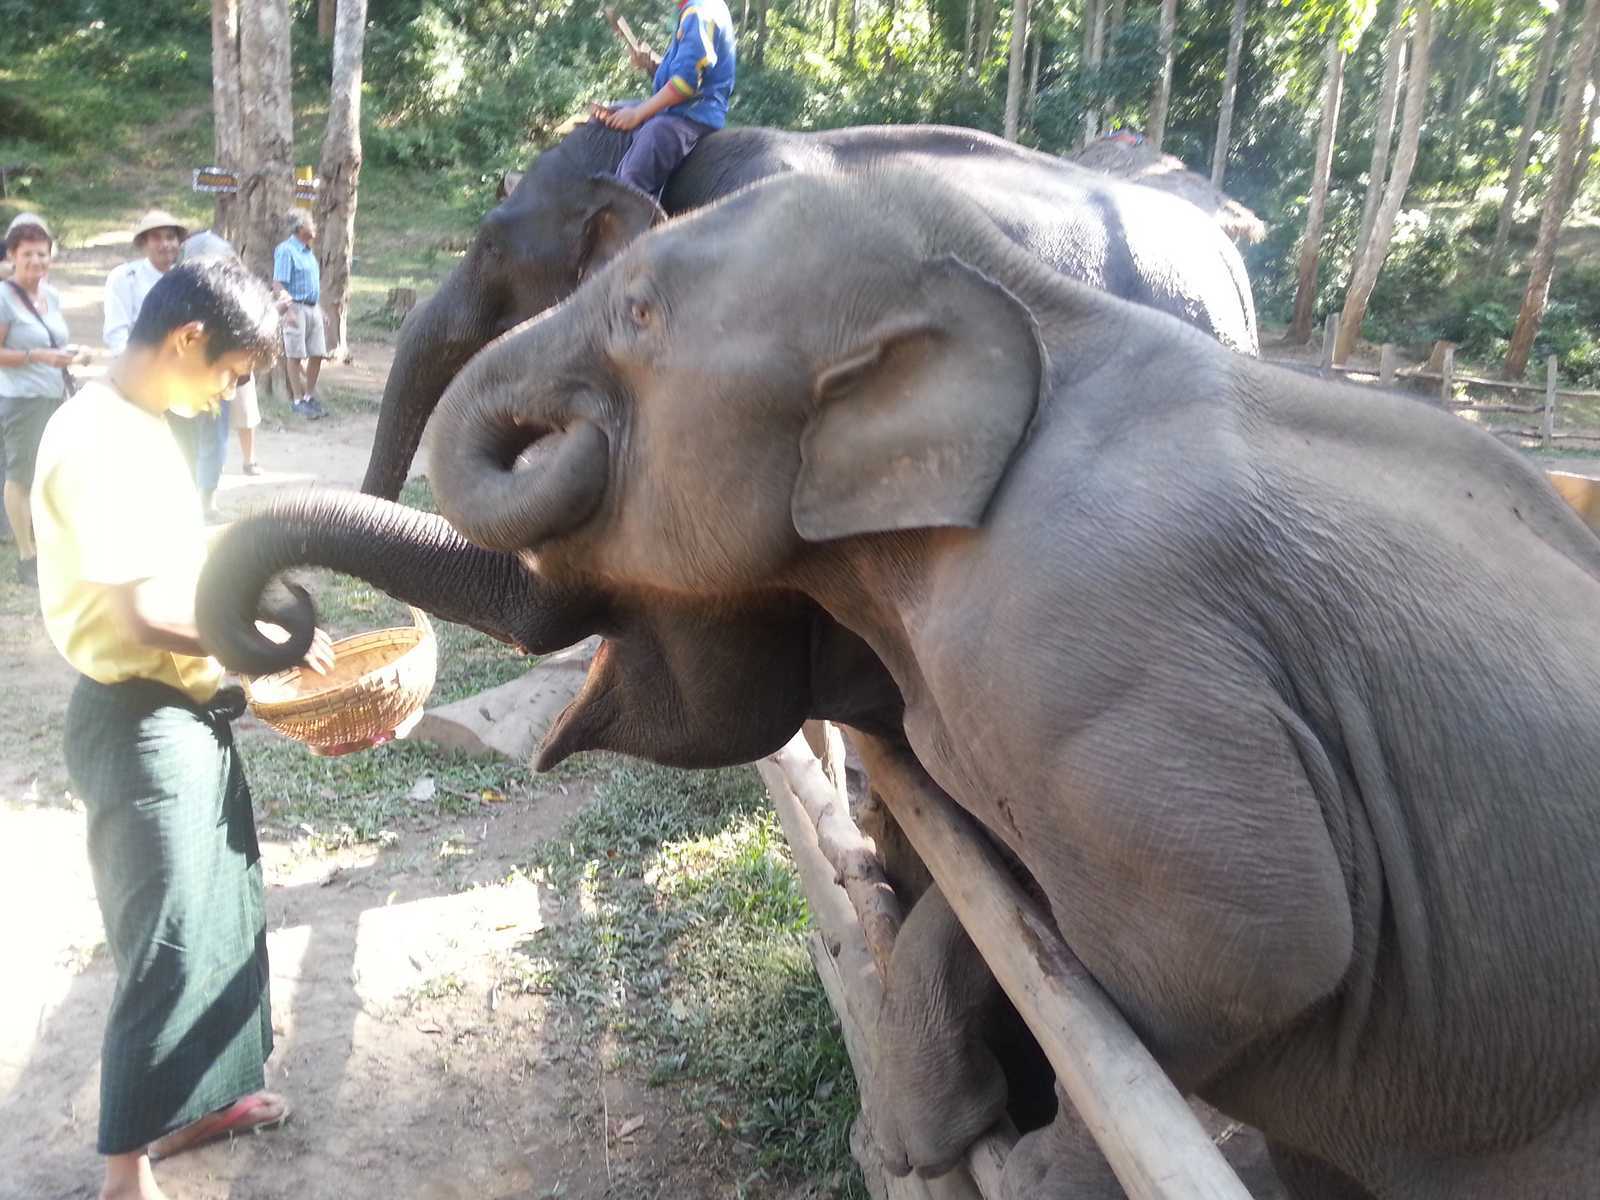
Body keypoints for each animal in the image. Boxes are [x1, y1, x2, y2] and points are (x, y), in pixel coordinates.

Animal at [393, 168, 1599, 1198]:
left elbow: (1252, 946)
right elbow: (993, 896)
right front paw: (919, 1134)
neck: (1029, 305)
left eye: (638, 311)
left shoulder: (1096, 631)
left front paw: (1003, 1169)